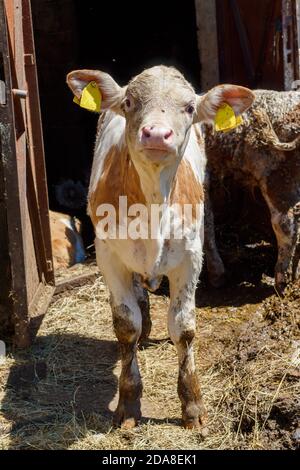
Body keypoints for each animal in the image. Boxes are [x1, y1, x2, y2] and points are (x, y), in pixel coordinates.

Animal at [66, 66, 253, 430]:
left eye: (190, 108)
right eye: (129, 102)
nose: (155, 134)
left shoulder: (190, 257)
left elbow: (184, 326)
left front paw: (192, 406)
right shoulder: (109, 256)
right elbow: (127, 325)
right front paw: (128, 403)